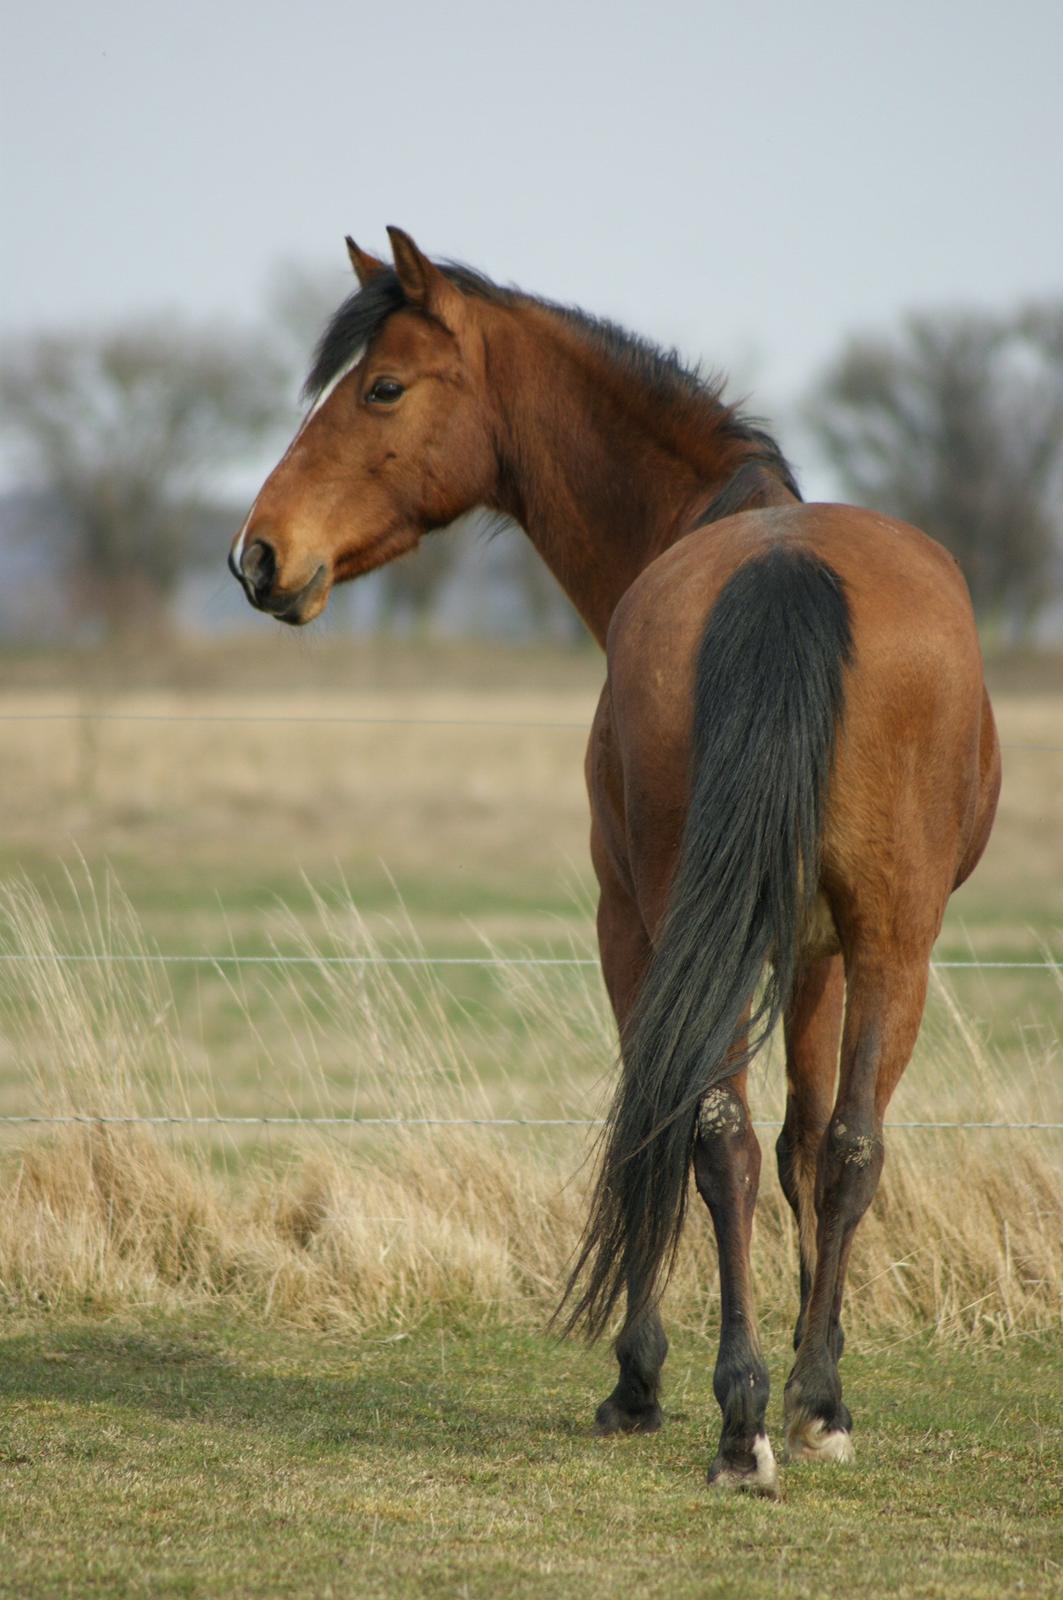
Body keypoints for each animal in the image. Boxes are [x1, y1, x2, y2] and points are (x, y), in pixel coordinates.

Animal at [228, 232, 998, 1491]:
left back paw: (747, 1417)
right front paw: (806, 1371)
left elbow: (694, 1127)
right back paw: (787, 1408)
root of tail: (782, 572)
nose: (258, 552)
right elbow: (796, 1141)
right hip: (887, 939)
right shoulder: (811, 948)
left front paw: (650, 1375)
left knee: (731, 1134)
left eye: (382, 386)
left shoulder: (638, 926)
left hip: (719, 929)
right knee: (824, 1143)